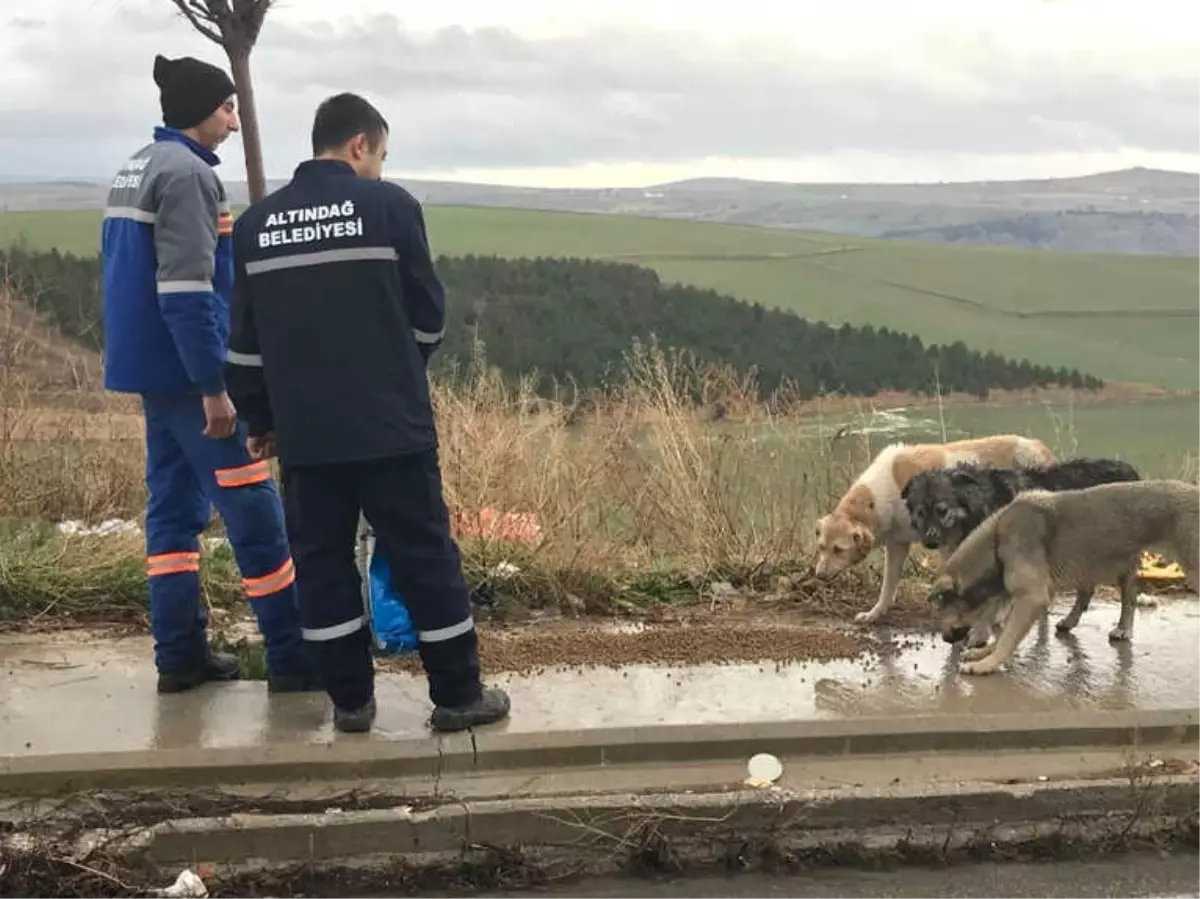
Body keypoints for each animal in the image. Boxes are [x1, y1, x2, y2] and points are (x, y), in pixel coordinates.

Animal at [816, 434, 1051, 624]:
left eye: (838, 550)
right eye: (821, 548)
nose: (818, 575)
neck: (885, 490)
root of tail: (1040, 447)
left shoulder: (946, 541)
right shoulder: (897, 544)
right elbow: (887, 586)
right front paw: (875, 613)